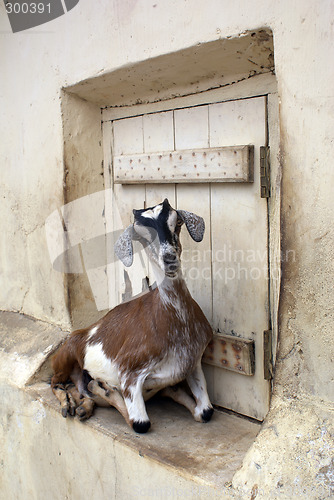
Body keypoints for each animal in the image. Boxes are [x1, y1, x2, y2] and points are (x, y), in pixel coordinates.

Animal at [52, 197, 214, 432]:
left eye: (177, 223)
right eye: (141, 236)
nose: (169, 259)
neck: (176, 324)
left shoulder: (192, 365)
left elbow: (205, 412)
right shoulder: (129, 373)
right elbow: (140, 423)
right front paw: (104, 387)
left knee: (77, 389)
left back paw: (83, 407)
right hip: (64, 356)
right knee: (57, 383)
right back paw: (77, 400)